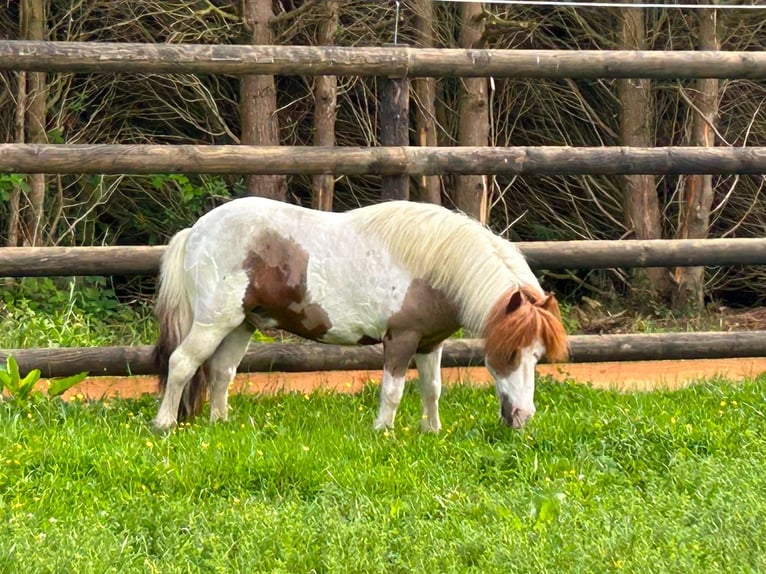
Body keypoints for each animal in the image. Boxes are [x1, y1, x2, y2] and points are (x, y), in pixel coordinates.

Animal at [152, 197, 569, 431]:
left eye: (537, 356)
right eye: (509, 353)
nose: (522, 417)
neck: (434, 265)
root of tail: (195, 230)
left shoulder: (429, 343)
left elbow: (432, 389)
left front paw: (432, 431)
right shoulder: (400, 340)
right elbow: (393, 391)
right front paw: (382, 432)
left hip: (241, 325)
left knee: (221, 372)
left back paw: (220, 424)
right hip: (213, 321)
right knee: (182, 363)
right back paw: (164, 424)